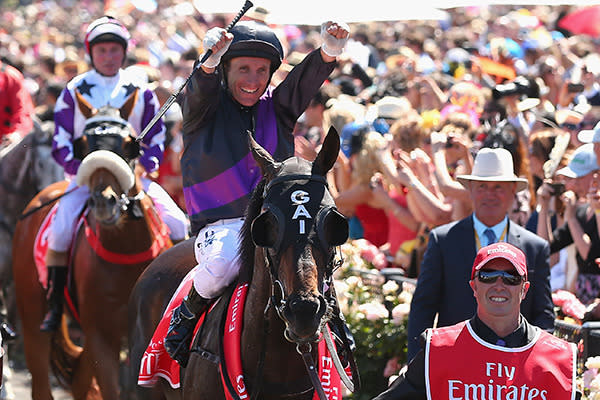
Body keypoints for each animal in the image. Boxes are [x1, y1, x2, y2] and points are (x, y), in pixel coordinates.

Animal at [12, 90, 171, 400]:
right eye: (84, 145)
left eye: (129, 145)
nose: (103, 201)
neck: (127, 253)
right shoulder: (101, 335)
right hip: (33, 314)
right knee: (41, 380)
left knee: (79, 381)